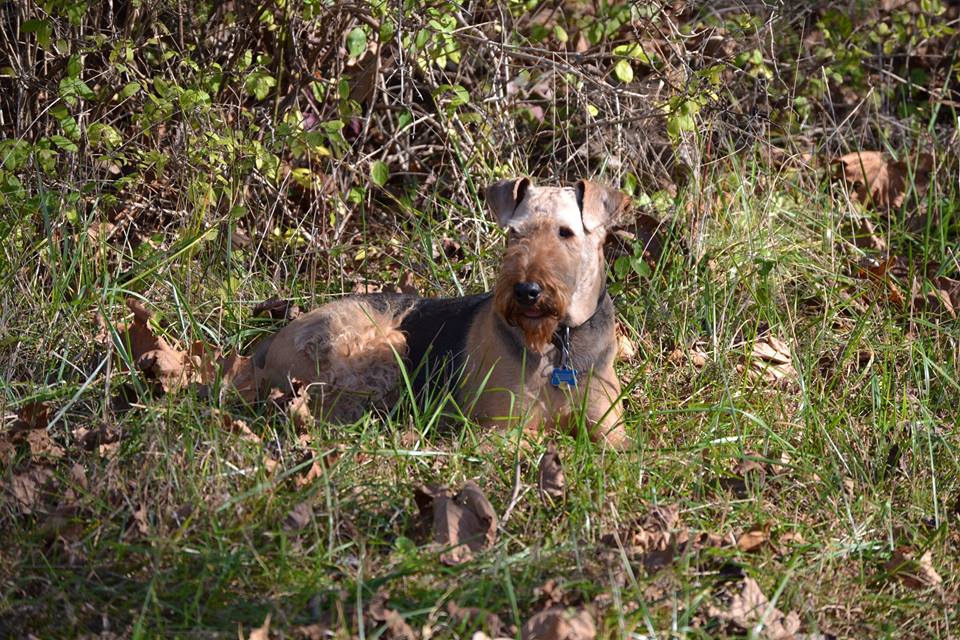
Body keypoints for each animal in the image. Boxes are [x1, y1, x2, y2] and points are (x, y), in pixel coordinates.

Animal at [255, 175, 632, 448]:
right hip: (381, 344)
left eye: (565, 232)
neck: (558, 343)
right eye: (514, 232)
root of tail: (271, 343)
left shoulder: (612, 432)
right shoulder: (503, 428)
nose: (526, 291)